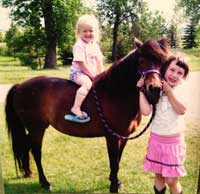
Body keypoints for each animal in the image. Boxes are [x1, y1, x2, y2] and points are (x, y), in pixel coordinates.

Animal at [5, 37, 170, 192]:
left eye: (162, 62)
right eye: (141, 61)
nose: (154, 89)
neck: (115, 92)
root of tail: (19, 86)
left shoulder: (123, 137)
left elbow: (118, 159)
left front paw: (116, 182)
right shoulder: (112, 137)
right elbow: (114, 162)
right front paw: (113, 187)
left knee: (25, 146)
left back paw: (28, 172)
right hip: (37, 128)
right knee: (36, 151)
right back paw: (45, 183)